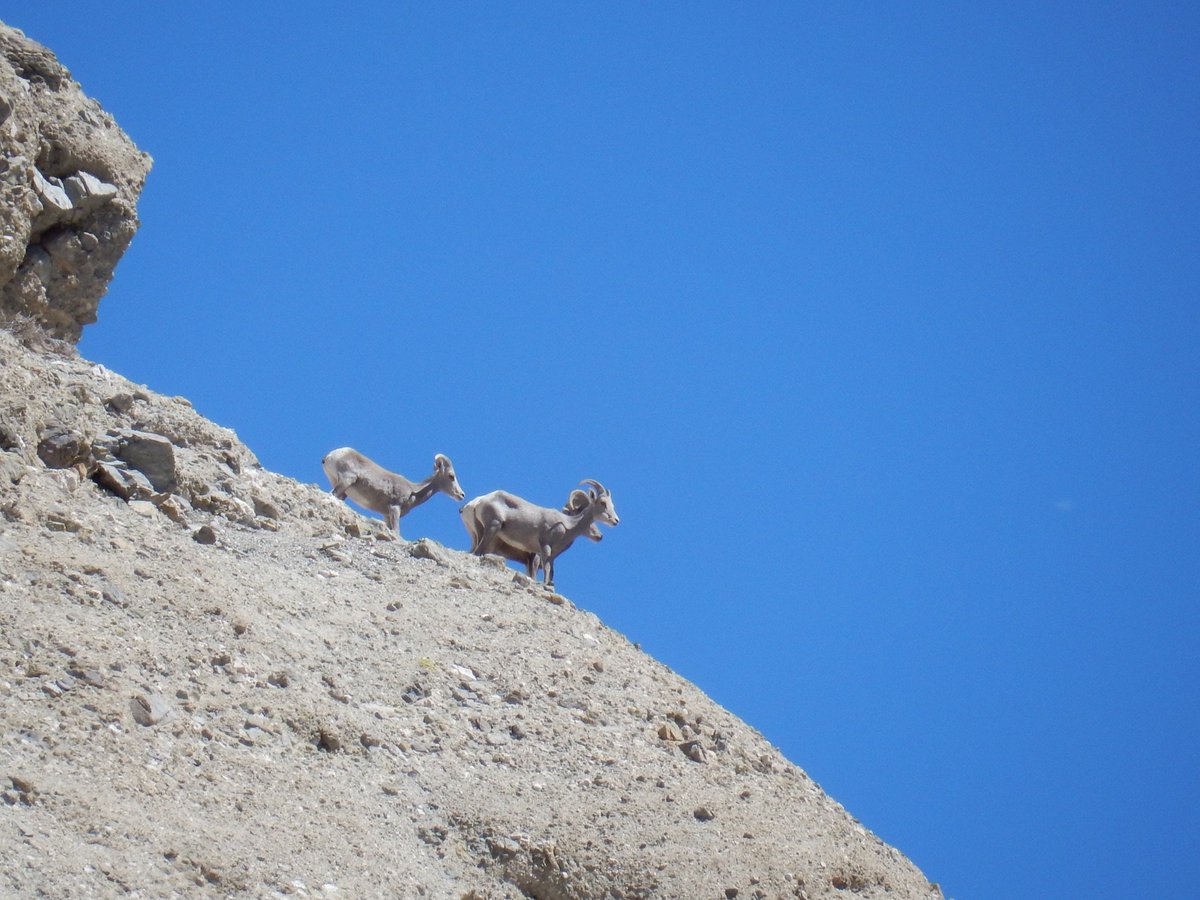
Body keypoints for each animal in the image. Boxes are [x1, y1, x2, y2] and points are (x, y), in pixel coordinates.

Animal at [322, 447, 465, 536]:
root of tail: (330, 455)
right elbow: (397, 531)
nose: (462, 495)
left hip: (342, 490)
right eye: (451, 476)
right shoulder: (395, 508)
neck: (414, 491)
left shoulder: (386, 515)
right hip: (346, 481)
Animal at [462, 480, 619, 588]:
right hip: (493, 527)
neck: (567, 525)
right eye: (602, 503)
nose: (616, 520)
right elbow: (546, 569)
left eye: (612, 505)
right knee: (477, 552)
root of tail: (480, 501)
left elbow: (551, 571)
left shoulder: (550, 556)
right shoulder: (543, 548)